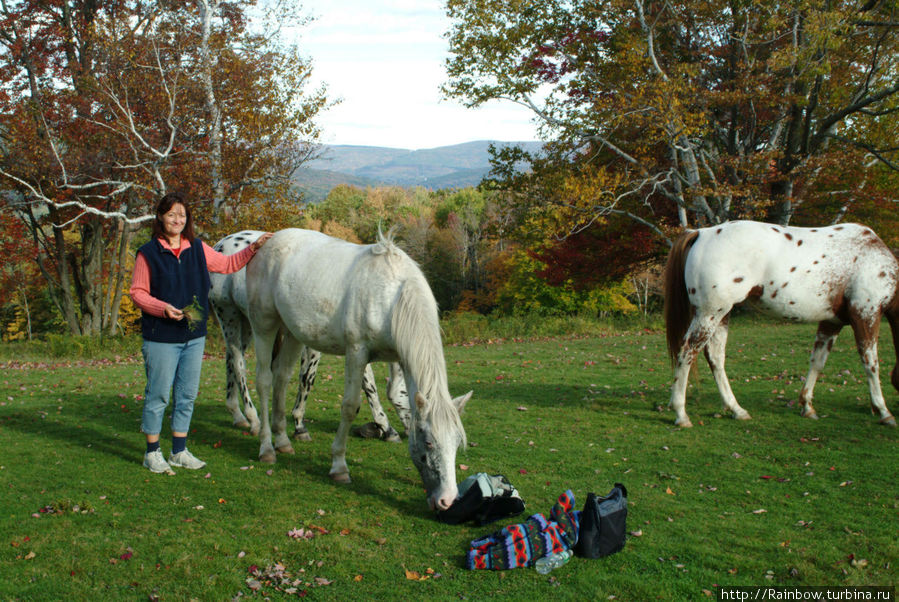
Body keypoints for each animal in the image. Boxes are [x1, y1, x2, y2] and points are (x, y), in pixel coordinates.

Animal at [209, 230, 410, 440]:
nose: (409, 431)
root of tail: (221, 244)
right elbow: (307, 379)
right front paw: (299, 425)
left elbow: (367, 381)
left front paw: (386, 427)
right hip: (229, 315)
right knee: (238, 364)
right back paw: (253, 419)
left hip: (246, 322)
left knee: (230, 361)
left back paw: (238, 415)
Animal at [246, 227, 472, 508]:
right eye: (429, 443)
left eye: (457, 443)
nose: (447, 500)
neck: (392, 295)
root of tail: (266, 244)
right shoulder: (356, 353)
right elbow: (350, 406)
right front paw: (339, 467)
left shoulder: (398, 356)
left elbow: (394, 395)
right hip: (263, 325)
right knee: (264, 381)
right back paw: (267, 448)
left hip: (293, 334)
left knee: (282, 376)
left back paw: (283, 440)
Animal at [660, 220, 899, 426]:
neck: (874, 257)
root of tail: (702, 232)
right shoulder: (866, 315)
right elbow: (871, 364)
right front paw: (884, 411)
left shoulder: (832, 322)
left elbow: (817, 362)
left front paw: (807, 406)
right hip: (709, 313)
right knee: (687, 352)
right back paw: (681, 414)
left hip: (721, 315)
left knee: (715, 357)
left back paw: (736, 409)